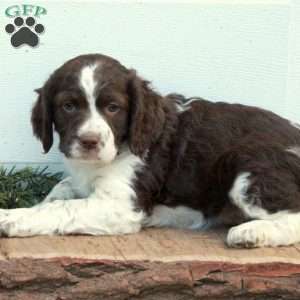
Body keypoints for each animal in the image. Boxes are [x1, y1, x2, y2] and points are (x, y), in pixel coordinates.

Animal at [0, 54, 300, 248]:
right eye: (68, 106)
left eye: (113, 108)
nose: (89, 142)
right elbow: (60, 190)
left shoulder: (121, 205)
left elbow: (62, 207)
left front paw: (11, 217)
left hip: (245, 166)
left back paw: (252, 232)